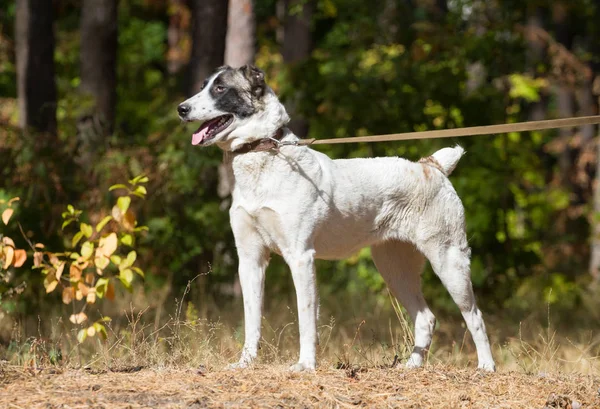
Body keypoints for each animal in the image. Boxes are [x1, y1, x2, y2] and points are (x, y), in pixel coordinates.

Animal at [178, 64, 496, 372]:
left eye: (220, 88)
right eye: (203, 85)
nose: (181, 108)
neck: (264, 154)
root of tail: (431, 166)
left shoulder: (301, 257)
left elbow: (306, 318)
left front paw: (306, 364)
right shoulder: (250, 259)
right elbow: (251, 318)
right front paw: (245, 363)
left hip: (449, 261)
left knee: (475, 316)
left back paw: (486, 366)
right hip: (394, 268)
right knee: (426, 317)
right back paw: (411, 366)